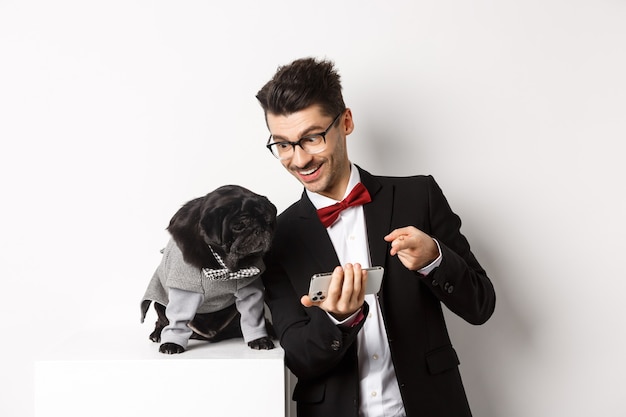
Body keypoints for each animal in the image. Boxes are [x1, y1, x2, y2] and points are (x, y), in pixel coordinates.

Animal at [141, 184, 278, 352]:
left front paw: (260, 339)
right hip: (160, 303)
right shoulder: (185, 290)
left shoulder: (249, 289)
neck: (224, 263)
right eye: (239, 226)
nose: (260, 229)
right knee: (162, 320)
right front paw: (171, 343)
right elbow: (177, 320)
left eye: (268, 221)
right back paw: (157, 333)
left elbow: (253, 317)